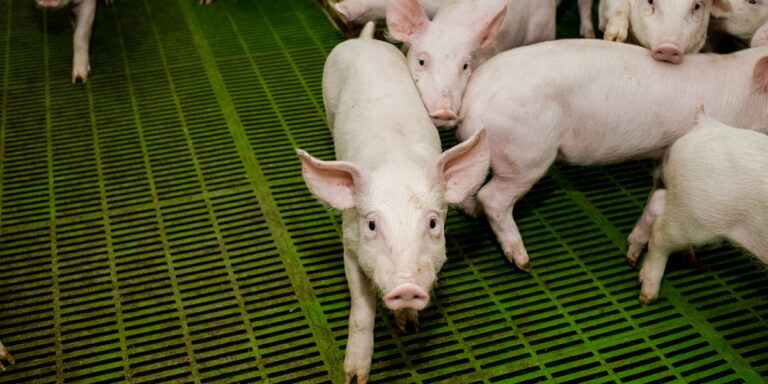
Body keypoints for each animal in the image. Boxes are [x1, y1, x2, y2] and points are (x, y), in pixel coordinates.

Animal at [296, 23, 488, 384]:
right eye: (371, 224)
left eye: (433, 223)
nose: (406, 286)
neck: (397, 163)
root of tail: (365, 41)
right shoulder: (349, 243)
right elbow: (361, 307)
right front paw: (354, 376)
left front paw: (408, 325)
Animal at [456, 39, 768, 272]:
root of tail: (470, 102)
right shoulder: (677, 146)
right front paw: (691, 257)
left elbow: (659, 185)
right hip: (526, 154)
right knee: (493, 198)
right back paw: (523, 261)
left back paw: (473, 214)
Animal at [628, 114, 768, 306]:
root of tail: (705, 124)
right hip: (695, 217)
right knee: (659, 237)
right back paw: (647, 297)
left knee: (656, 201)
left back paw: (632, 255)